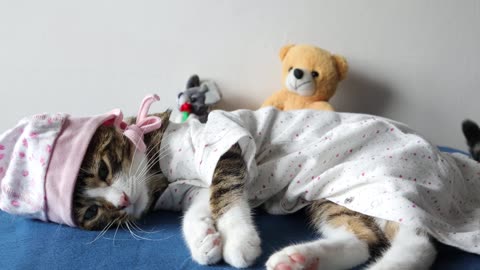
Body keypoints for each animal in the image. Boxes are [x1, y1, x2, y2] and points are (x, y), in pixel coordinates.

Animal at [73, 108, 448, 270]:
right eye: (92, 212)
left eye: (103, 170)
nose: (121, 201)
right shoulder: (189, 188)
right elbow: (201, 204)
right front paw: (204, 239)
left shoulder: (225, 142)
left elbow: (225, 191)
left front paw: (239, 239)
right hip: (335, 197)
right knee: (363, 239)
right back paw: (300, 259)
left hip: (376, 178)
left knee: (417, 242)